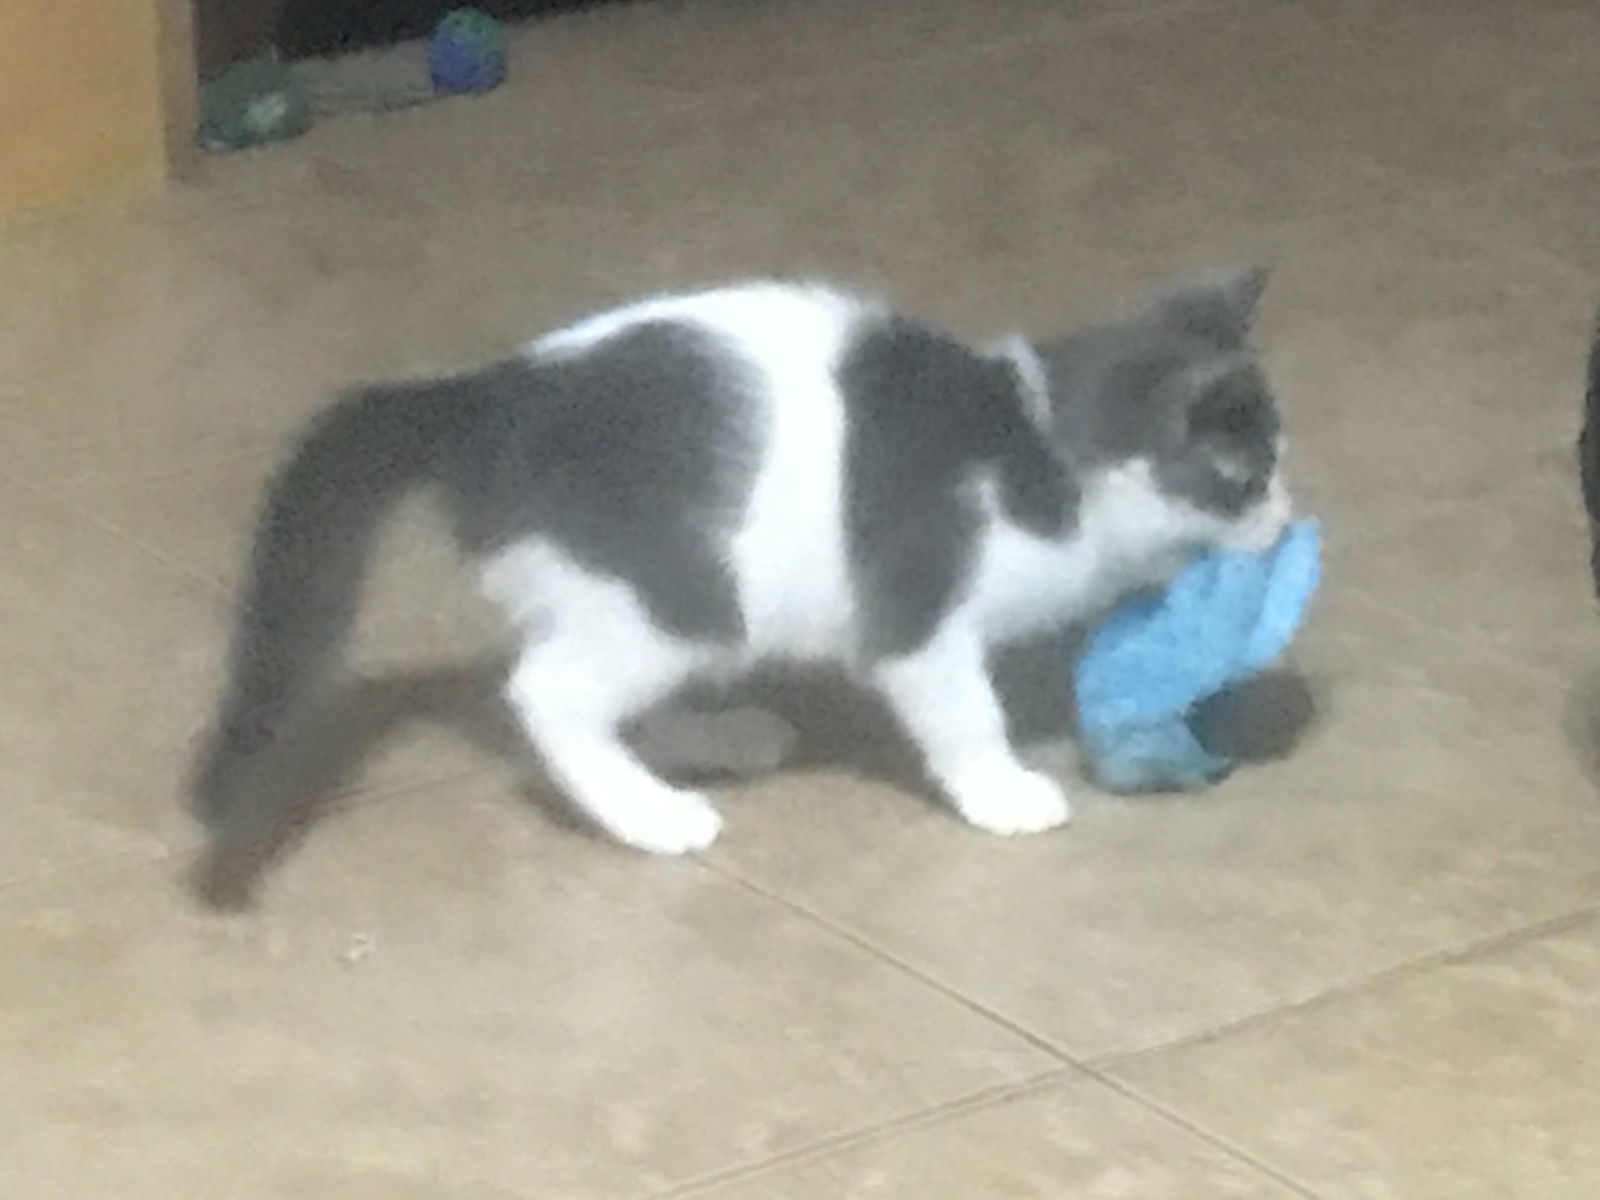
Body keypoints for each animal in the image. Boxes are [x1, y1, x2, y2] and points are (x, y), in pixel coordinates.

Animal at [193, 270, 1292, 857]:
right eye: (1245, 479)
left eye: (1276, 466)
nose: (1287, 519)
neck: (1038, 449)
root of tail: (491, 398)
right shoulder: (917, 610)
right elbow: (960, 708)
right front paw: (1002, 791)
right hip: (669, 591)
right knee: (547, 693)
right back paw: (647, 813)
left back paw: (712, 737)